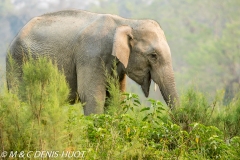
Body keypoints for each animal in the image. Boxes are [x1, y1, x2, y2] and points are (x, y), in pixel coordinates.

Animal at [6, 9, 178, 115]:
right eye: (153, 55)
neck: (126, 22)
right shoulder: (91, 56)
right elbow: (92, 96)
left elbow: (115, 97)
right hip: (18, 63)